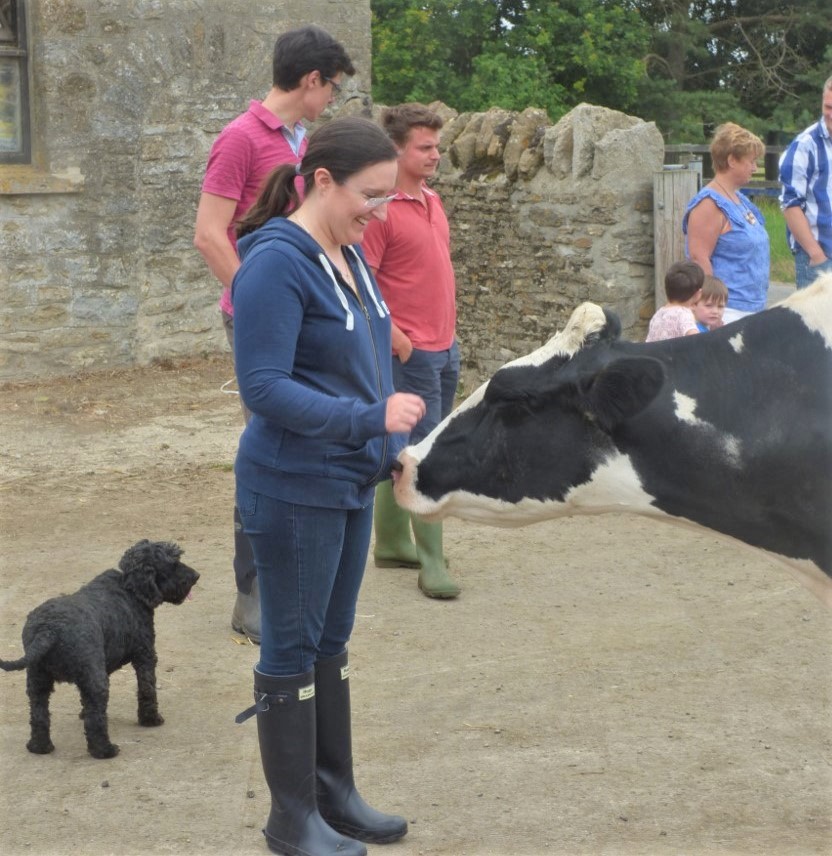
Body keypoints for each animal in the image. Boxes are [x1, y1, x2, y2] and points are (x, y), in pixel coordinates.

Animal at [0, 540, 198, 760]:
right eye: (173, 562)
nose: (196, 576)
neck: (130, 587)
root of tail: (49, 629)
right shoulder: (145, 655)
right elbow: (147, 688)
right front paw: (151, 719)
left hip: (37, 681)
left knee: (39, 714)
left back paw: (39, 747)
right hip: (95, 682)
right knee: (95, 720)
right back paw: (105, 750)